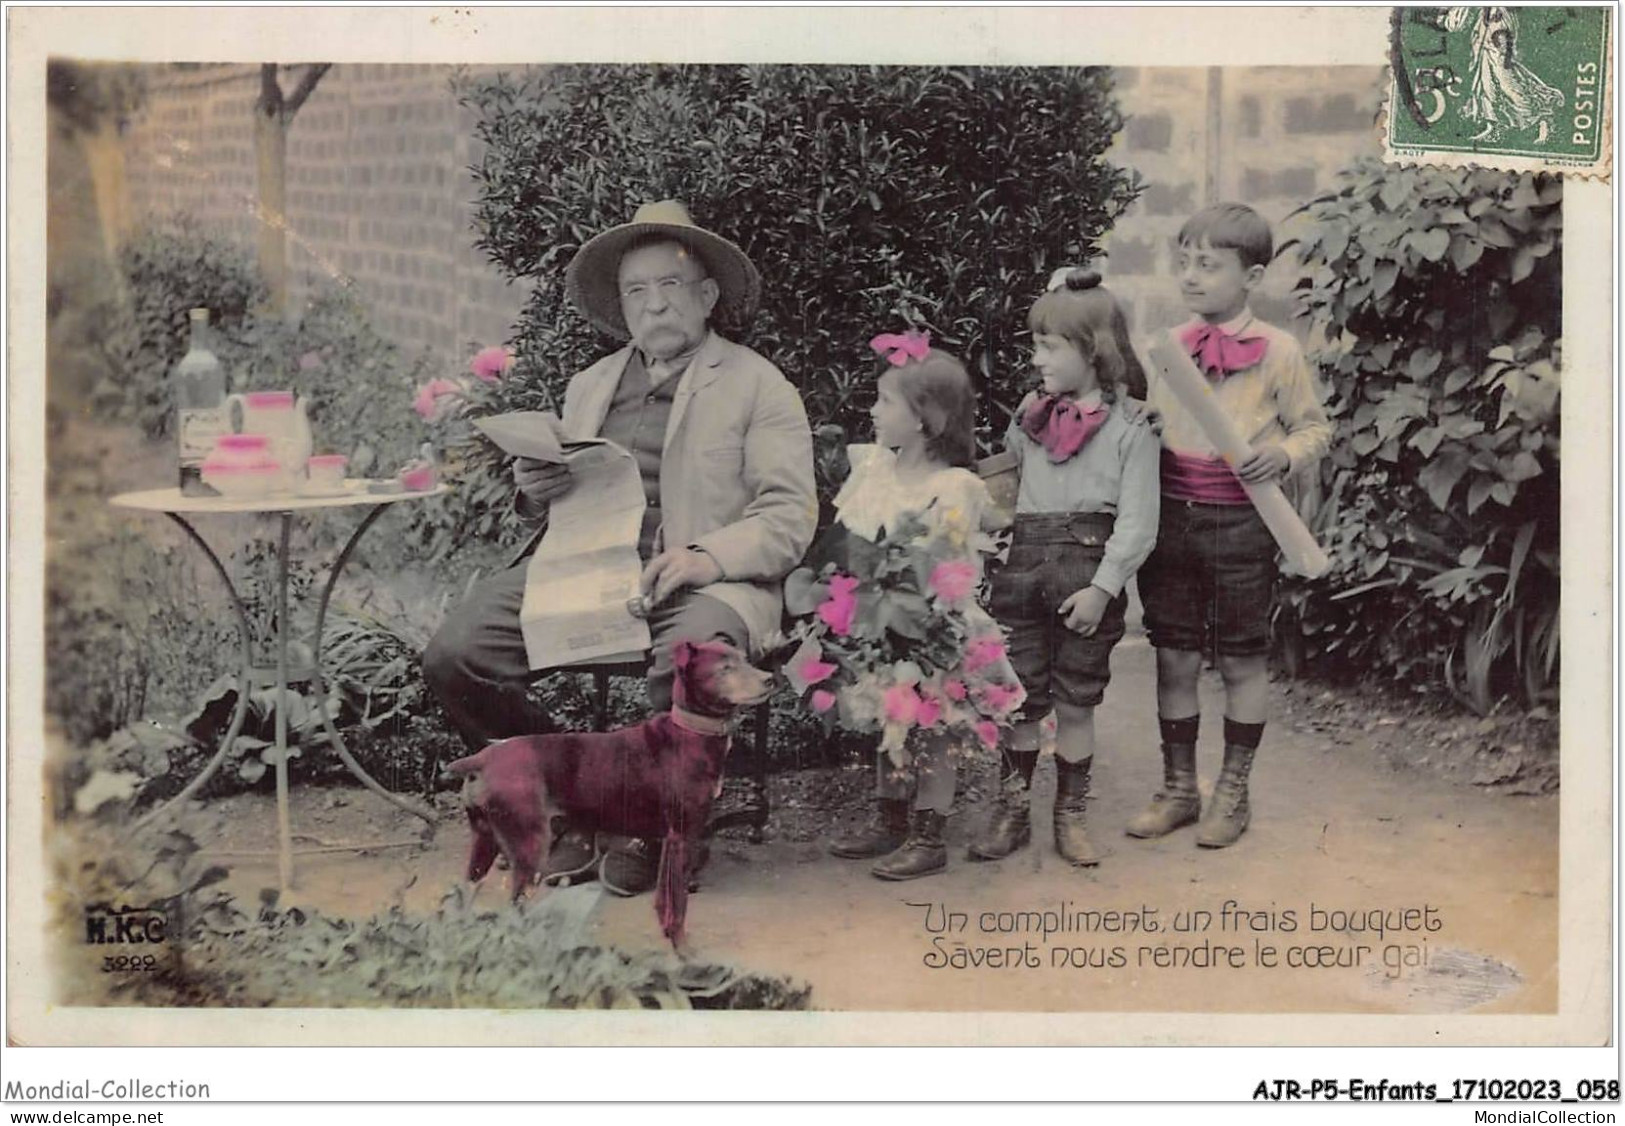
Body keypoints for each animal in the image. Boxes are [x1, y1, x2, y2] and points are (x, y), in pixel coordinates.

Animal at [445, 636, 773, 942]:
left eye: (745, 659)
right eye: (724, 668)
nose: (769, 678)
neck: (690, 731)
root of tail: (483, 759)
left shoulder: (670, 840)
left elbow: (663, 903)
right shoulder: (681, 836)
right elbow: (676, 908)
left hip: (484, 838)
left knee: (466, 894)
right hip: (529, 844)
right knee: (513, 907)